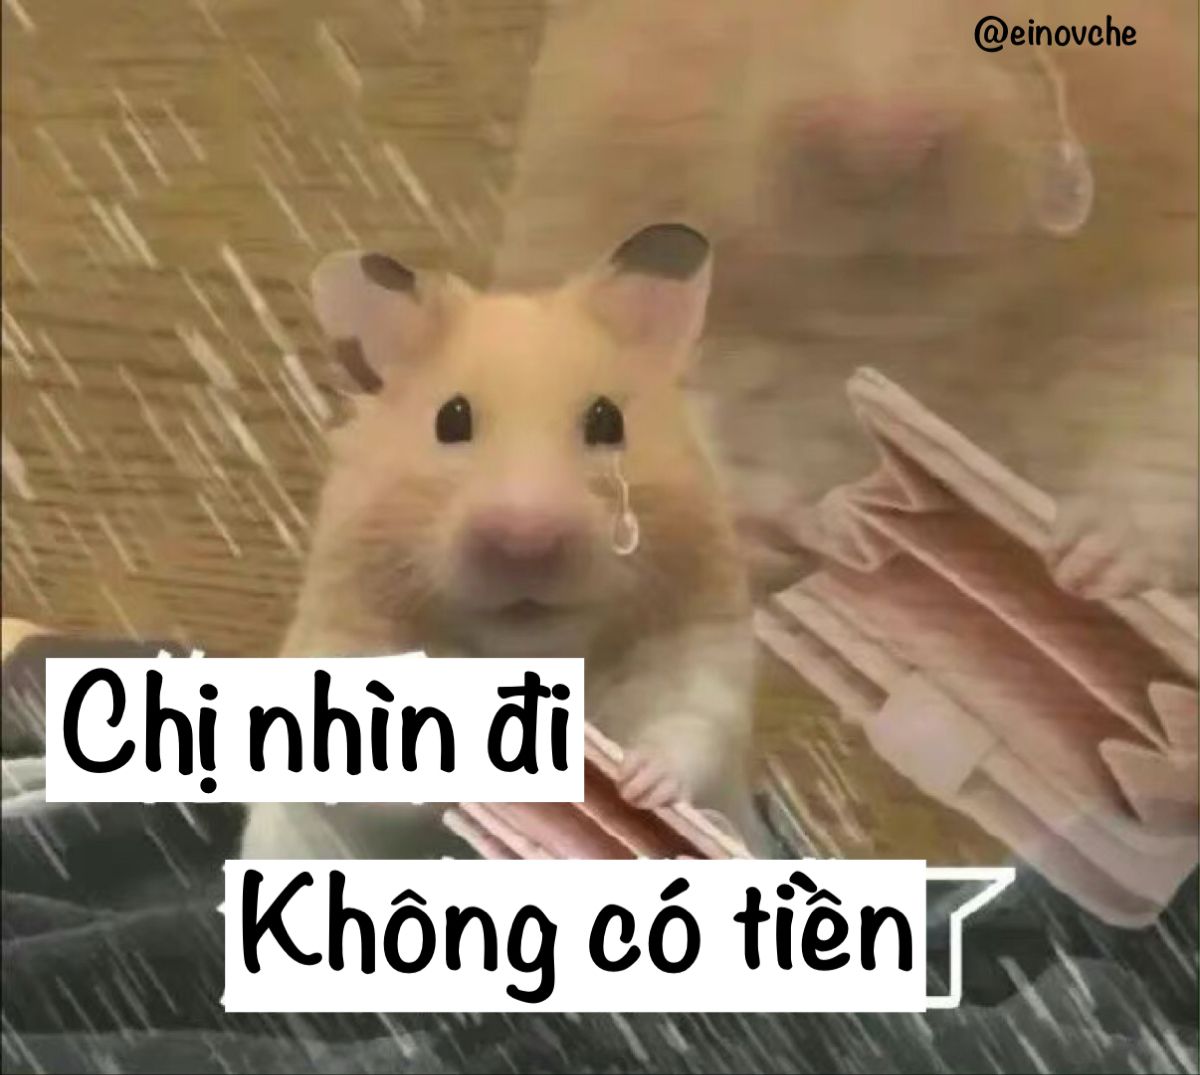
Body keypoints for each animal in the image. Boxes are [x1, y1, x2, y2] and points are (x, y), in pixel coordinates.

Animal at [239, 223, 765, 860]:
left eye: (607, 420)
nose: (526, 540)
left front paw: (642, 783)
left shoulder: (699, 649)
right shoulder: (343, 654)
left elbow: (689, 724)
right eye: (451, 420)